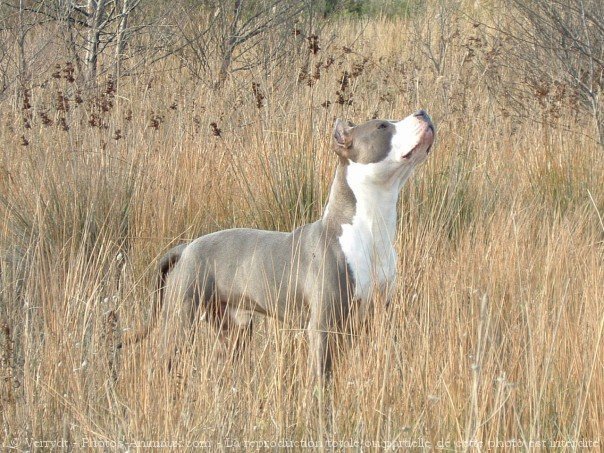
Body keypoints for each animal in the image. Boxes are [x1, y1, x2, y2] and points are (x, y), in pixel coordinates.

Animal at [122, 109, 434, 378]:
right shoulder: (323, 326)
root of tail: (186, 247)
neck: (368, 228)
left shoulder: (376, 317)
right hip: (180, 319)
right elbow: (322, 378)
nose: (423, 112)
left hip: (233, 329)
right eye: (382, 126)